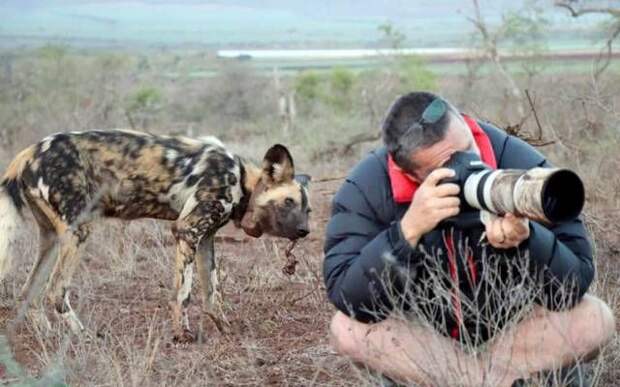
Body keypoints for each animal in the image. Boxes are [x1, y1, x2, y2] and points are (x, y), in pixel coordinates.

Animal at [0, 130, 310, 342]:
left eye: (307, 210)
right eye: (288, 202)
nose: (305, 231)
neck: (241, 179)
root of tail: (28, 152)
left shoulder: (205, 239)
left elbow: (214, 294)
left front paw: (224, 328)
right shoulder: (186, 231)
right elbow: (183, 294)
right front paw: (183, 335)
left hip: (52, 239)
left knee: (28, 291)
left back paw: (47, 335)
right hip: (78, 231)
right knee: (56, 292)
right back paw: (84, 335)